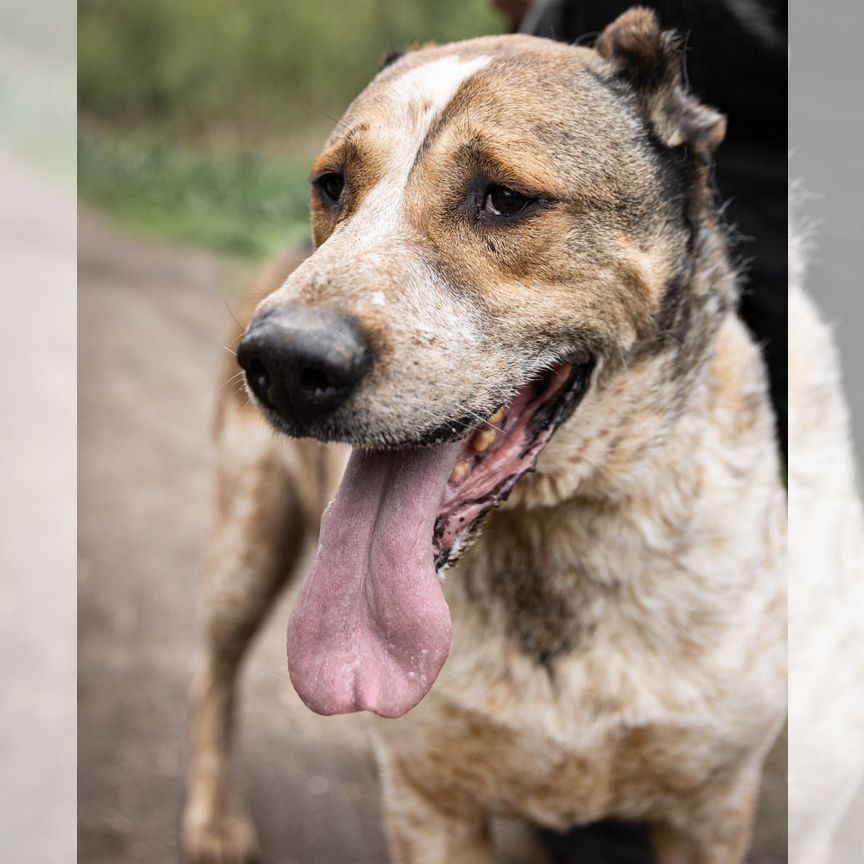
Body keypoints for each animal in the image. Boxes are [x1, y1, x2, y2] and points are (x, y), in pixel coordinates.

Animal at [186, 8, 788, 864]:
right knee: (214, 668)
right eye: (332, 184)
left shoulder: (708, 810)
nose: (283, 362)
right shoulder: (432, 805)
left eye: (505, 199)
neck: (553, 541)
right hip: (247, 537)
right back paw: (213, 818)